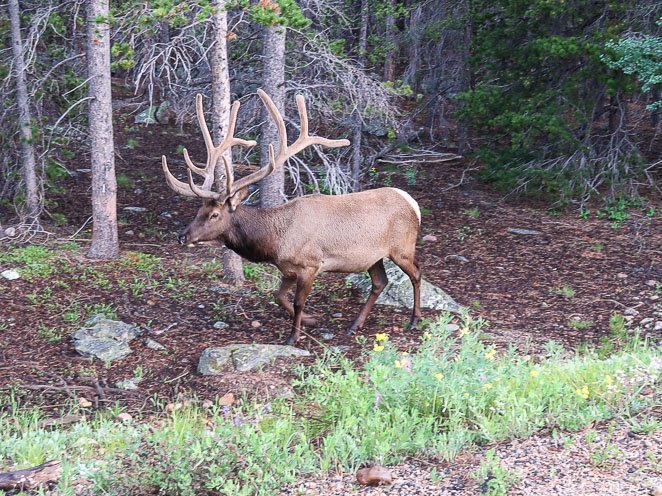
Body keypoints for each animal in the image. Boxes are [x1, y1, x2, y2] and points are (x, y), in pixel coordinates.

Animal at [161, 89, 422, 344]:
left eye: (214, 214)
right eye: (198, 211)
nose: (182, 236)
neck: (274, 241)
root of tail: (413, 203)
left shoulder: (310, 264)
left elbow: (298, 302)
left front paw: (293, 336)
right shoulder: (287, 268)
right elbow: (278, 296)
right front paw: (311, 320)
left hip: (402, 248)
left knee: (416, 274)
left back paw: (414, 320)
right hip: (373, 256)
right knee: (380, 282)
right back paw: (355, 324)